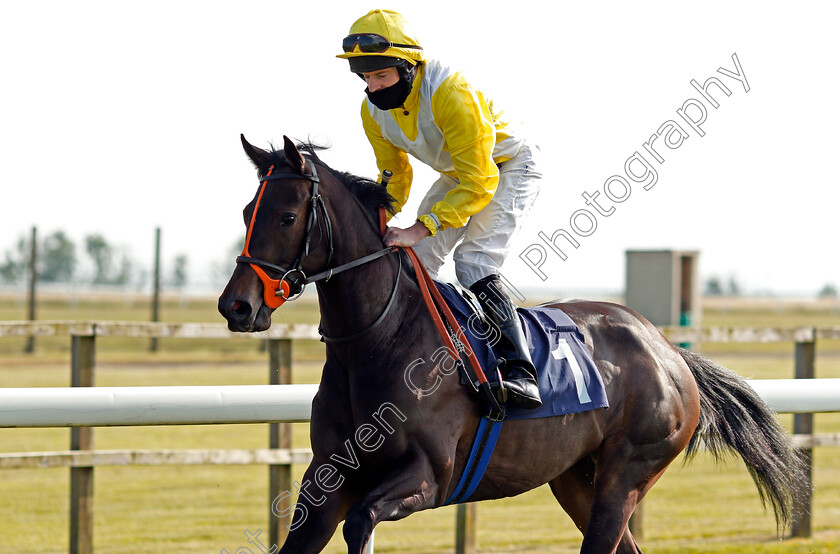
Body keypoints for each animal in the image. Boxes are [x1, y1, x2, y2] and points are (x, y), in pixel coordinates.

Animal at [220, 135, 804, 552]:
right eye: (247, 211)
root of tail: (667, 350)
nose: (236, 306)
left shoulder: (429, 478)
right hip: (574, 479)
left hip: (628, 474)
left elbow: (362, 521)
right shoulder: (328, 479)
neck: (378, 343)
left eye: (287, 216)